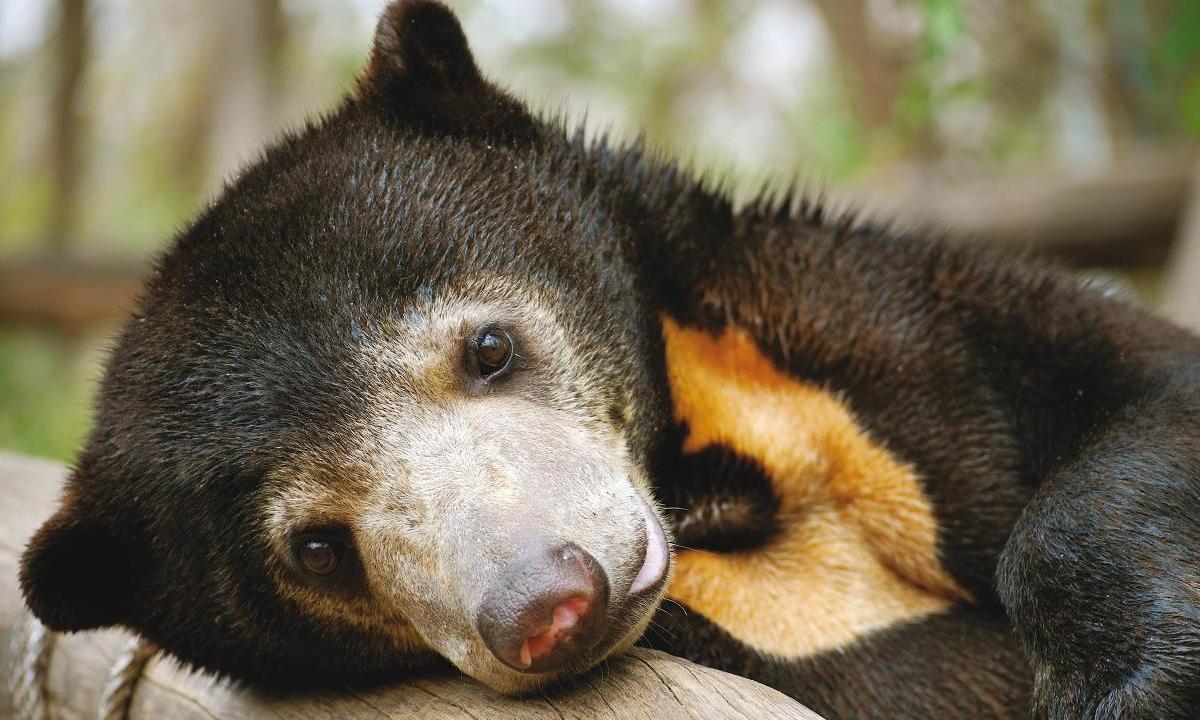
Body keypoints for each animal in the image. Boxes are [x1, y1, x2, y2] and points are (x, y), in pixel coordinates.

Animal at [16, 1, 1200, 720]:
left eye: (488, 348)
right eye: (315, 550)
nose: (549, 602)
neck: (710, 490)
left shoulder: (848, 324)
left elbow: (1135, 381)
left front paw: (1126, 683)